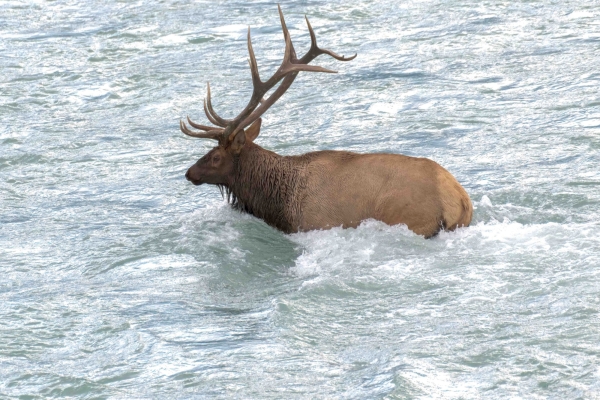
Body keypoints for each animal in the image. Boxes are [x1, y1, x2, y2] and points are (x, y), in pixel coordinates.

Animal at [180, 7, 472, 238]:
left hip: (410, 218)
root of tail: (460, 201)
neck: (279, 205)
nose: (189, 173)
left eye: (216, 156)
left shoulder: (315, 224)